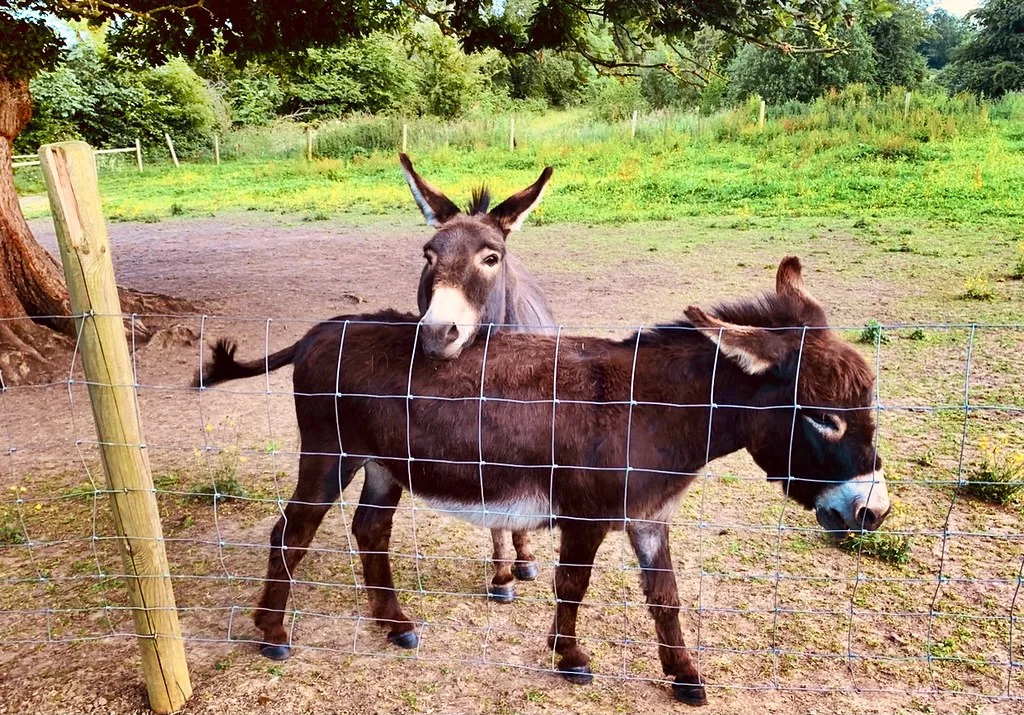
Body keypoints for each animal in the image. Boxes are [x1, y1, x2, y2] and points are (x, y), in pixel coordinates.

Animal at [198, 257, 891, 706]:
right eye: (823, 418)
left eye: (866, 409)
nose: (873, 513)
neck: (654, 408)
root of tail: (323, 329)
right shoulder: (588, 515)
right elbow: (573, 585)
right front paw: (571, 659)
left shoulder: (649, 516)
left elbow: (665, 597)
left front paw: (685, 677)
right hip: (329, 455)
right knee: (291, 533)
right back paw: (273, 635)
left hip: (382, 466)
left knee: (370, 530)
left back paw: (396, 626)